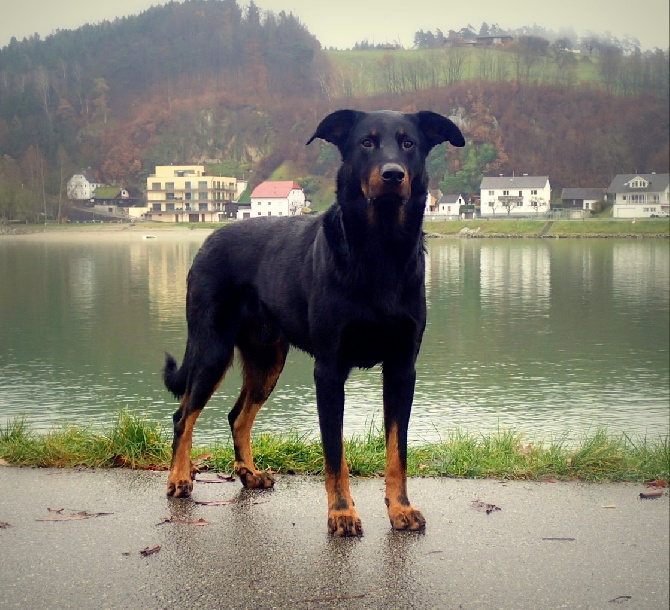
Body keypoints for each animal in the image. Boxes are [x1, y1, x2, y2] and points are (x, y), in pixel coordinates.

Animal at [165, 109, 464, 532]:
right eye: (366, 142)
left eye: (410, 143)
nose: (393, 175)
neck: (378, 251)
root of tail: (207, 240)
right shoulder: (330, 370)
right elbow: (334, 452)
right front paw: (341, 513)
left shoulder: (402, 368)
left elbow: (398, 450)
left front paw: (400, 508)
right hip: (212, 349)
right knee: (183, 415)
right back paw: (178, 478)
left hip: (267, 359)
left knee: (237, 416)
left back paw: (248, 474)